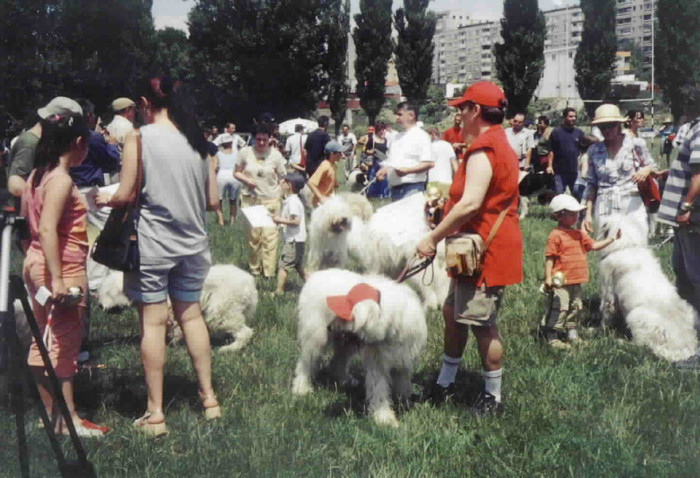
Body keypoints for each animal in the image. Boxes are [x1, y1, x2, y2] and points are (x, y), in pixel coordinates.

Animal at [98, 266, 258, 352]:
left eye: (109, 292)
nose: (100, 306)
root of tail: (249, 282)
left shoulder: (170, 312)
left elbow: (174, 330)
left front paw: (171, 345)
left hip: (220, 312)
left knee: (245, 332)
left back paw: (230, 349)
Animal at [292, 268, 426, 428]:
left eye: (345, 316)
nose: (329, 327)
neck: (394, 326)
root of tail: (315, 275)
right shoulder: (377, 364)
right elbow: (379, 390)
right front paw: (384, 418)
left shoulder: (403, 361)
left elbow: (403, 385)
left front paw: (404, 404)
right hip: (316, 337)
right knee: (306, 364)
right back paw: (301, 388)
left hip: (346, 342)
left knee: (338, 361)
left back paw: (345, 381)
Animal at [306, 194, 448, 310]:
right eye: (330, 211)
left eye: (343, 210)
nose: (343, 218)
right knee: (441, 283)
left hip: (420, 266)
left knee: (429, 287)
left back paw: (430, 305)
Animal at [596, 215, 700, 360]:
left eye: (606, 223)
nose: (600, 215)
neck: (627, 247)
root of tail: (684, 345)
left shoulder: (608, 292)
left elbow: (606, 314)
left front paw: (598, 330)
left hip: (635, 316)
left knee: (641, 346)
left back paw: (621, 342)